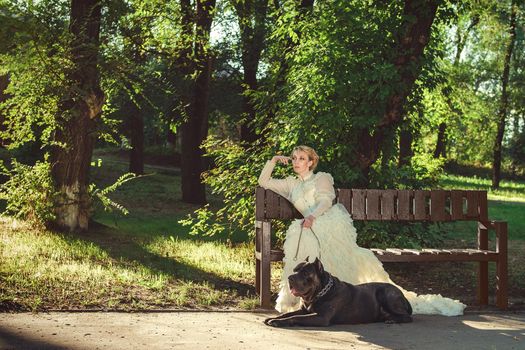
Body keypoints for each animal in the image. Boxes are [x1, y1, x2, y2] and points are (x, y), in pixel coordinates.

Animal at [264, 258, 412, 328]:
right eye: (294, 270)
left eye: (305, 273)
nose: (290, 277)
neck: (318, 294)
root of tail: (402, 294)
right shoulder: (304, 310)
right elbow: (288, 313)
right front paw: (273, 318)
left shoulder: (321, 317)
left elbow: (296, 317)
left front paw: (277, 322)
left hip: (386, 294)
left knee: (408, 317)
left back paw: (392, 320)